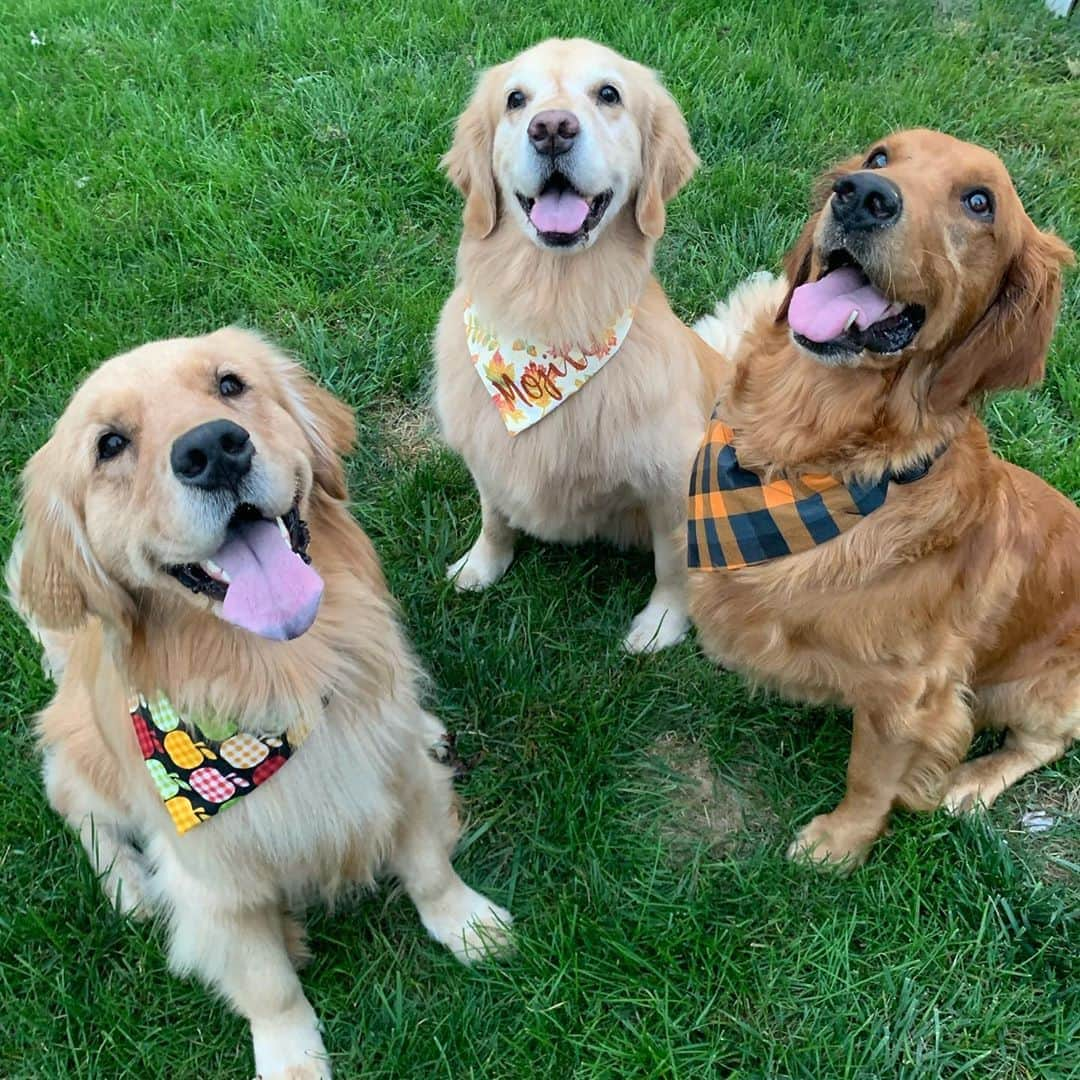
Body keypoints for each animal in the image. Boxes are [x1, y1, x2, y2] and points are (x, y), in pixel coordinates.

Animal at [5, 324, 509, 1075]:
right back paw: (130, 887)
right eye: (110, 444)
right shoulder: (214, 876)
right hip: (81, 756)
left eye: (230, 384)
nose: (214, 449)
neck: (280, 676)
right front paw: (291, 1055)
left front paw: (468, 924)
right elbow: (266, 982)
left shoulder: (393, 775)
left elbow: (428, 867)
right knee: (77, 807)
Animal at [432, 38, 725, 648]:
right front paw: (480, 567)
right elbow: (494, 516)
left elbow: (673, 562)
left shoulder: (673, 479)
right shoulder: (486, 448)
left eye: (608, 94)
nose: (552, 129)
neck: (552, 315)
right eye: (516, 99)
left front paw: (661, 626)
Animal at [686, 128, 1075, 868]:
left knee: (1045, 742)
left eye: (980, 202)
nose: (862, 196)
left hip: (1033, 688)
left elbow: (870, 773)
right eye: (879, 158)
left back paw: (972, 781)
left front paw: (839, 843)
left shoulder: (911, 694)